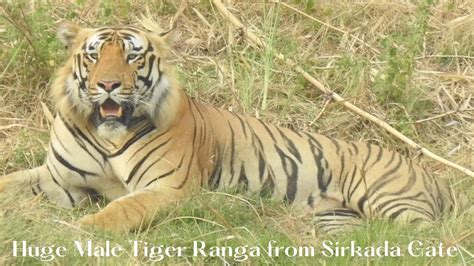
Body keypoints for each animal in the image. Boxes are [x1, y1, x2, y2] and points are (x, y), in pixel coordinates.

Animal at [0, 20, 452, 233]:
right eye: (94, 56)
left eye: (132, 56)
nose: (108, 84)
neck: (106, 135)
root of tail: (432, 174)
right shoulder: (59, 179)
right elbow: (10, 182)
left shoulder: (170, 187)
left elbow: (123, 206)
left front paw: (86, 228)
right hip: (339, 219)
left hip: (391, 202)